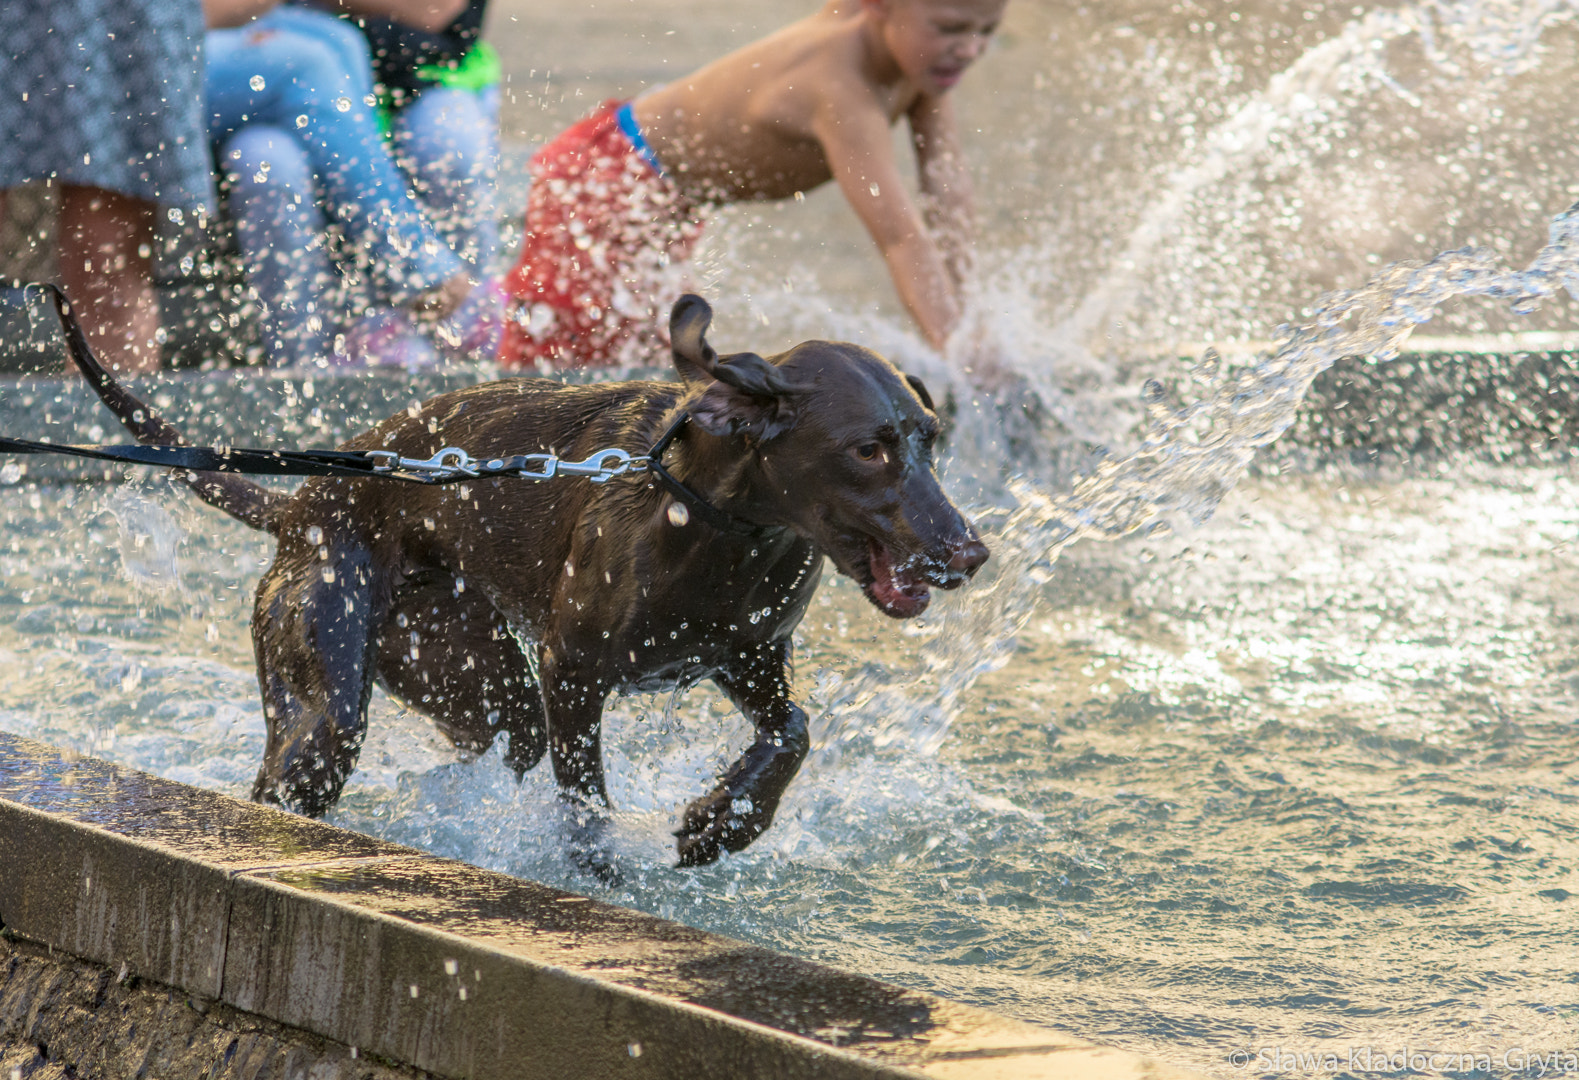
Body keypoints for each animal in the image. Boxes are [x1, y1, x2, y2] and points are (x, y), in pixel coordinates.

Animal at [76, 295, 985, 871]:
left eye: (929, 437)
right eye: (867, 449)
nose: (969, 551)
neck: (715, 526)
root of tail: (300, 502)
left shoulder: (749, 661)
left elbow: (791, 733)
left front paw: (720, 824)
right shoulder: (572, 671)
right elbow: (586, 803)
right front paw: (606, 876)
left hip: (478, 680)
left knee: (494, 747)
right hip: (329, 705)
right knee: (289, 775)